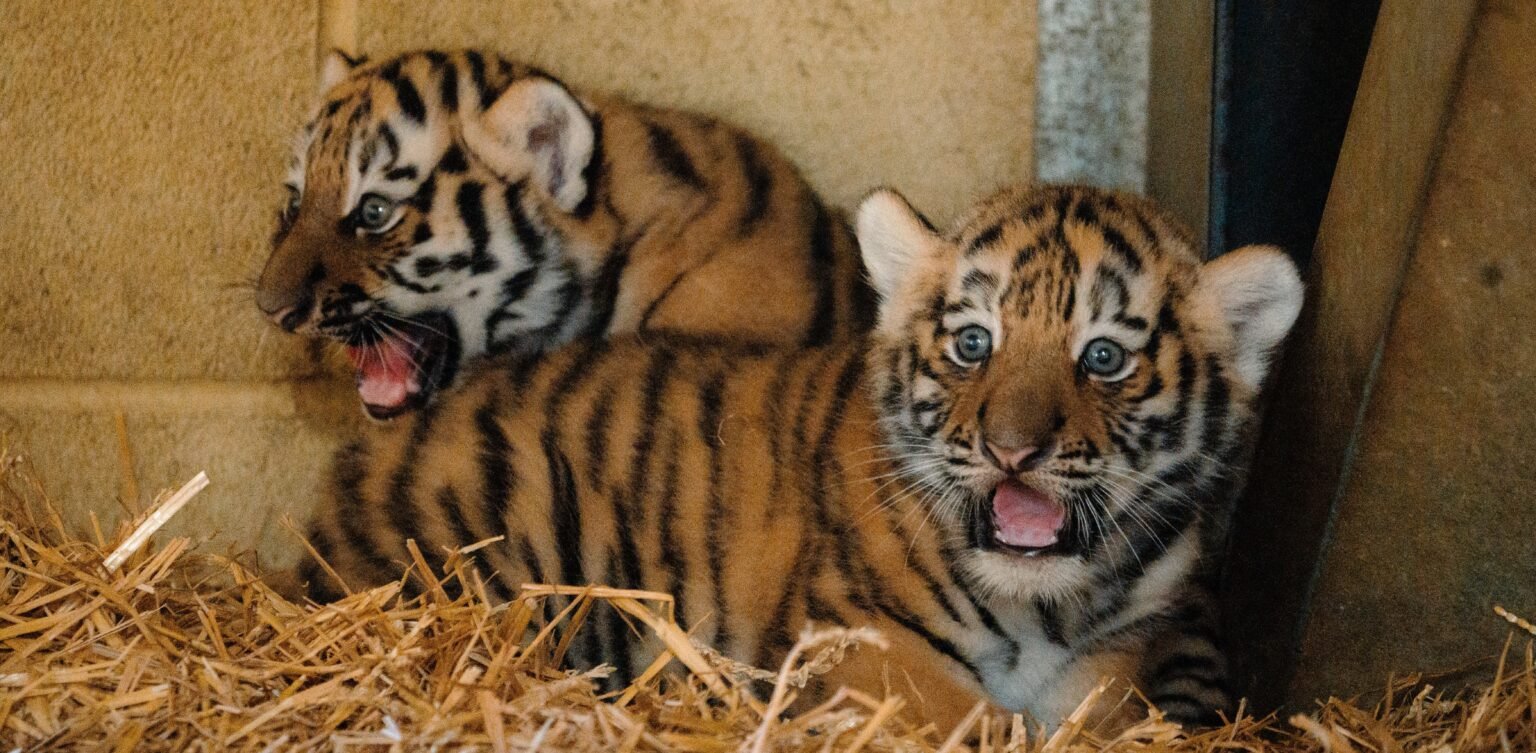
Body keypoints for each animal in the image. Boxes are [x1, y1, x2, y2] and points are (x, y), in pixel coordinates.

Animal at [290, 184, 1303, 729]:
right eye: (974, 342)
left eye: (1103, 357)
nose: (1012, 450)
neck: (1050, 604)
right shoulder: (862, 643)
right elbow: (976, 722)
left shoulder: (1116, 657)